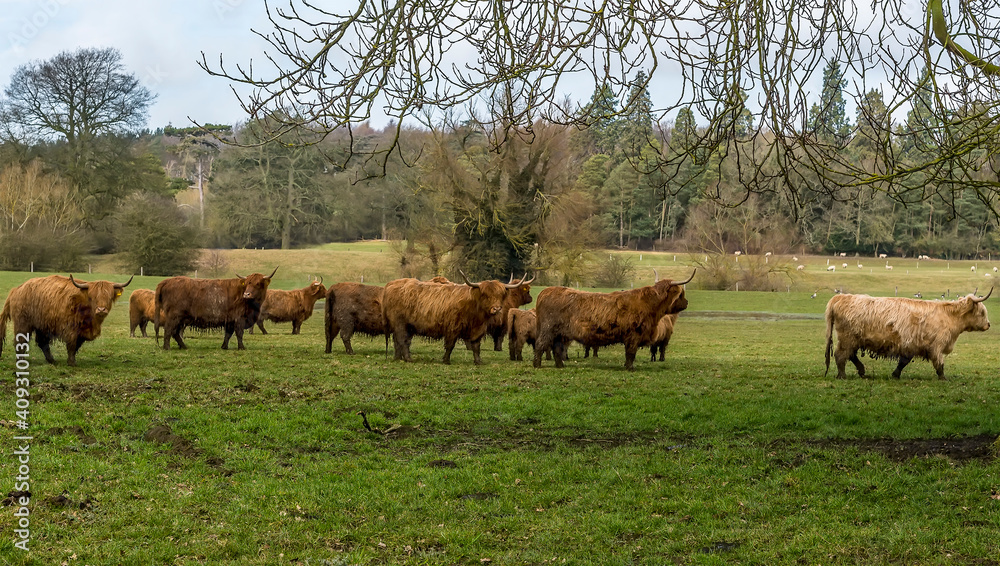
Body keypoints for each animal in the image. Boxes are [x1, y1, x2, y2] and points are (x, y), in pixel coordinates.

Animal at [0, 276, 133, 368]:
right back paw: (21, 360)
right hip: (23, 323)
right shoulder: (70, 328)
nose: (101, 309)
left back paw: (52, 360)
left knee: (42, 342)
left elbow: (77, 345)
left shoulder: (82, 332)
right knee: (20, 340)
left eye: (109, 297)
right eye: (92, 297)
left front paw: (72, 360)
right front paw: (71, 363)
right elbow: (72, 345)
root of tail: (17, 289)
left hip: (42, 325)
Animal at [532, 272, 696, 372]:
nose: (687, 302)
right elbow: (631, 353)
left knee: (557, 348)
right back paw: (537, 365)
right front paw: (630, 368)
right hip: (548, 330)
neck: (650, 305)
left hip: (560, 334)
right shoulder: (634, 335)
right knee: (540, 345)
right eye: (681, 294)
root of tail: (546, 291)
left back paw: (560, 365)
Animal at [824, 290, 988, 380]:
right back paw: (843, 375)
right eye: (982, 312)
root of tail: (840, 297)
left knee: (850, 355)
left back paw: (862, 371)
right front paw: (943, 378)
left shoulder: (911, 345)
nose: (989, 324)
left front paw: (895, 375)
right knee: (841, 355)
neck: (950, 316)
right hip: (847, 338)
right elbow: (939, 363)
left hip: (853, 339)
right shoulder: (936, 346)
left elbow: (903, 361)